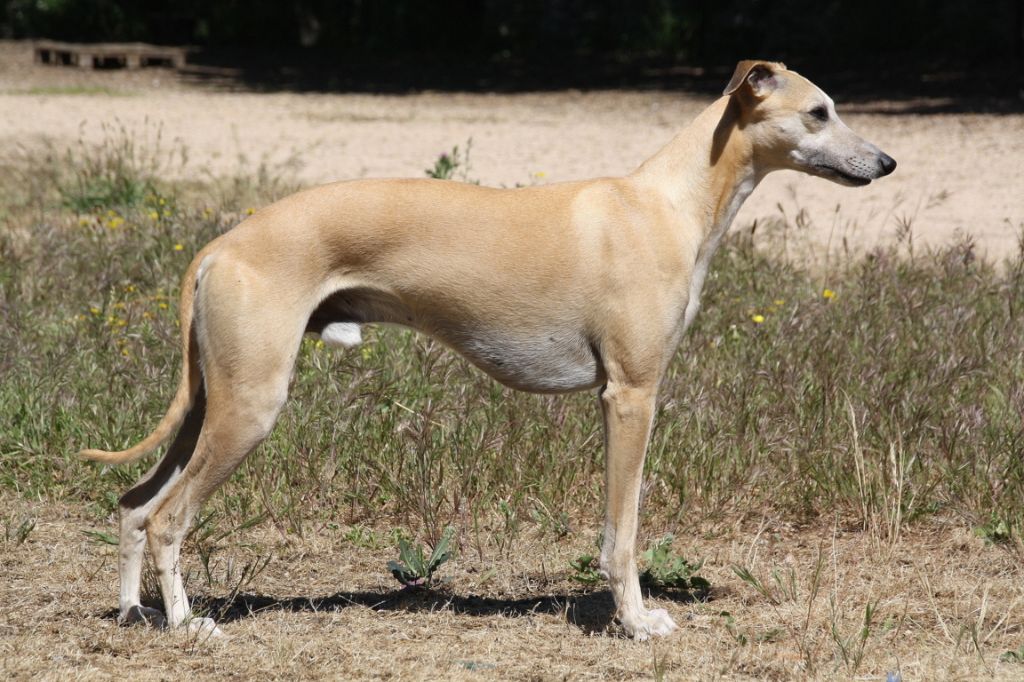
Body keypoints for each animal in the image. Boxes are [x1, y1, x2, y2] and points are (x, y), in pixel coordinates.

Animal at [81, 60, 895, 640]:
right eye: (819, 110)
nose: (886, 163)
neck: (664, 202)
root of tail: (220, 247)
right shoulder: (630, 394)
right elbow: (624, 534)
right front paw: (636, 623)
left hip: (209, 403)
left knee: (133, 503)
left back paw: (134, 614)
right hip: (249, 406)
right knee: (168, 518)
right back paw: (189, 625)